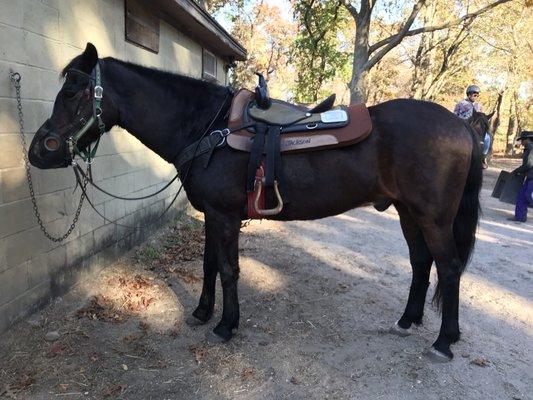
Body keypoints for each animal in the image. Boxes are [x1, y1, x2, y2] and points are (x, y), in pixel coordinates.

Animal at [27, 44, 482, 362]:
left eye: (73, 91)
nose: (39, 150)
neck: (207, 128)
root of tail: (460, 126)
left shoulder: (225, 217)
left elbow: (229, 270)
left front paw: (226, 325)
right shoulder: (211, 215)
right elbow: (209, 265)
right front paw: (201, 312)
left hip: (433, 217)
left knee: (448, 268)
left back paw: (444, 340)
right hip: (409, 212)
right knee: (422, 263)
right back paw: (408, 320)